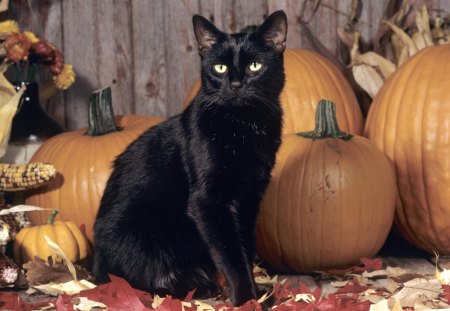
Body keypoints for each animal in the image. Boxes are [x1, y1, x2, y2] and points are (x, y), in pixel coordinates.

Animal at [92, 9, 286, 308]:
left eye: (255, 66)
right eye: (220, 68)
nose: (236, 83)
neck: (241, 127)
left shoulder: (249, 199)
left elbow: (245, 248)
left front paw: (258, 295)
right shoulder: (208, 202)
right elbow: (231, 254)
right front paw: (245, 298)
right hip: (139, 232)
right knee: (141, 279)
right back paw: (201, 285)